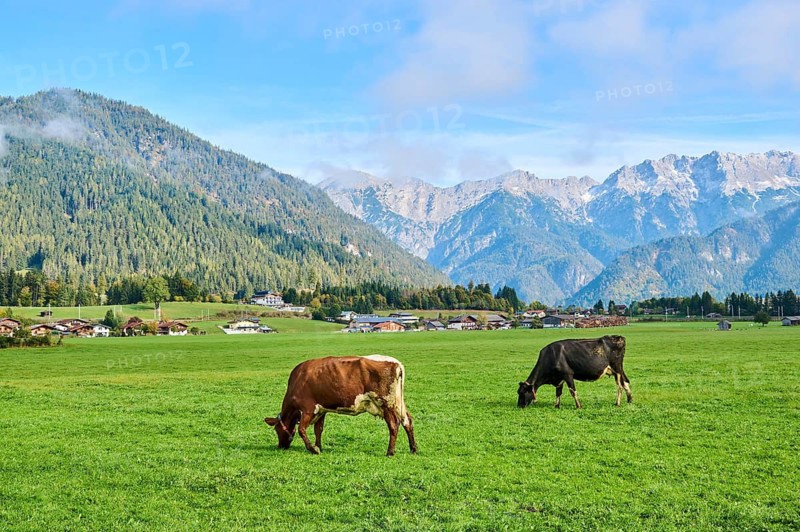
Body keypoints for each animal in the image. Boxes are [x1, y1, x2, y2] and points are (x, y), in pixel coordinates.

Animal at [264, 354, 417, 456]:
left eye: (277, 430)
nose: (280, 446)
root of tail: (396, 362)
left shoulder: (308, 409)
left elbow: (302, 430)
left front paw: (313, 449)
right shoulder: (321, 410)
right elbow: (318, 429)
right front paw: (319, 446)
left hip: (386, 403)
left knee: (393, 426)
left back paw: (390, 452)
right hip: (398, 403)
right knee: (407, 421)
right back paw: (413, 448)